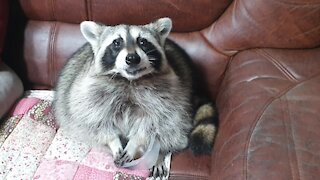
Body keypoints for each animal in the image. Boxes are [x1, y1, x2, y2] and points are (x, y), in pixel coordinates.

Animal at [53, 17, 218, 178]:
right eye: (117, 42)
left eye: (143, 42)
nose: (132, 58)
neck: (129, 80)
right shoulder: (90, 93)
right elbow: (96, 121)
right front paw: (113, 141)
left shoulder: (165, 96)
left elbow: (153, 124)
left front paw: (135, 143)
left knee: (172, 129)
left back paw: (160, 153)